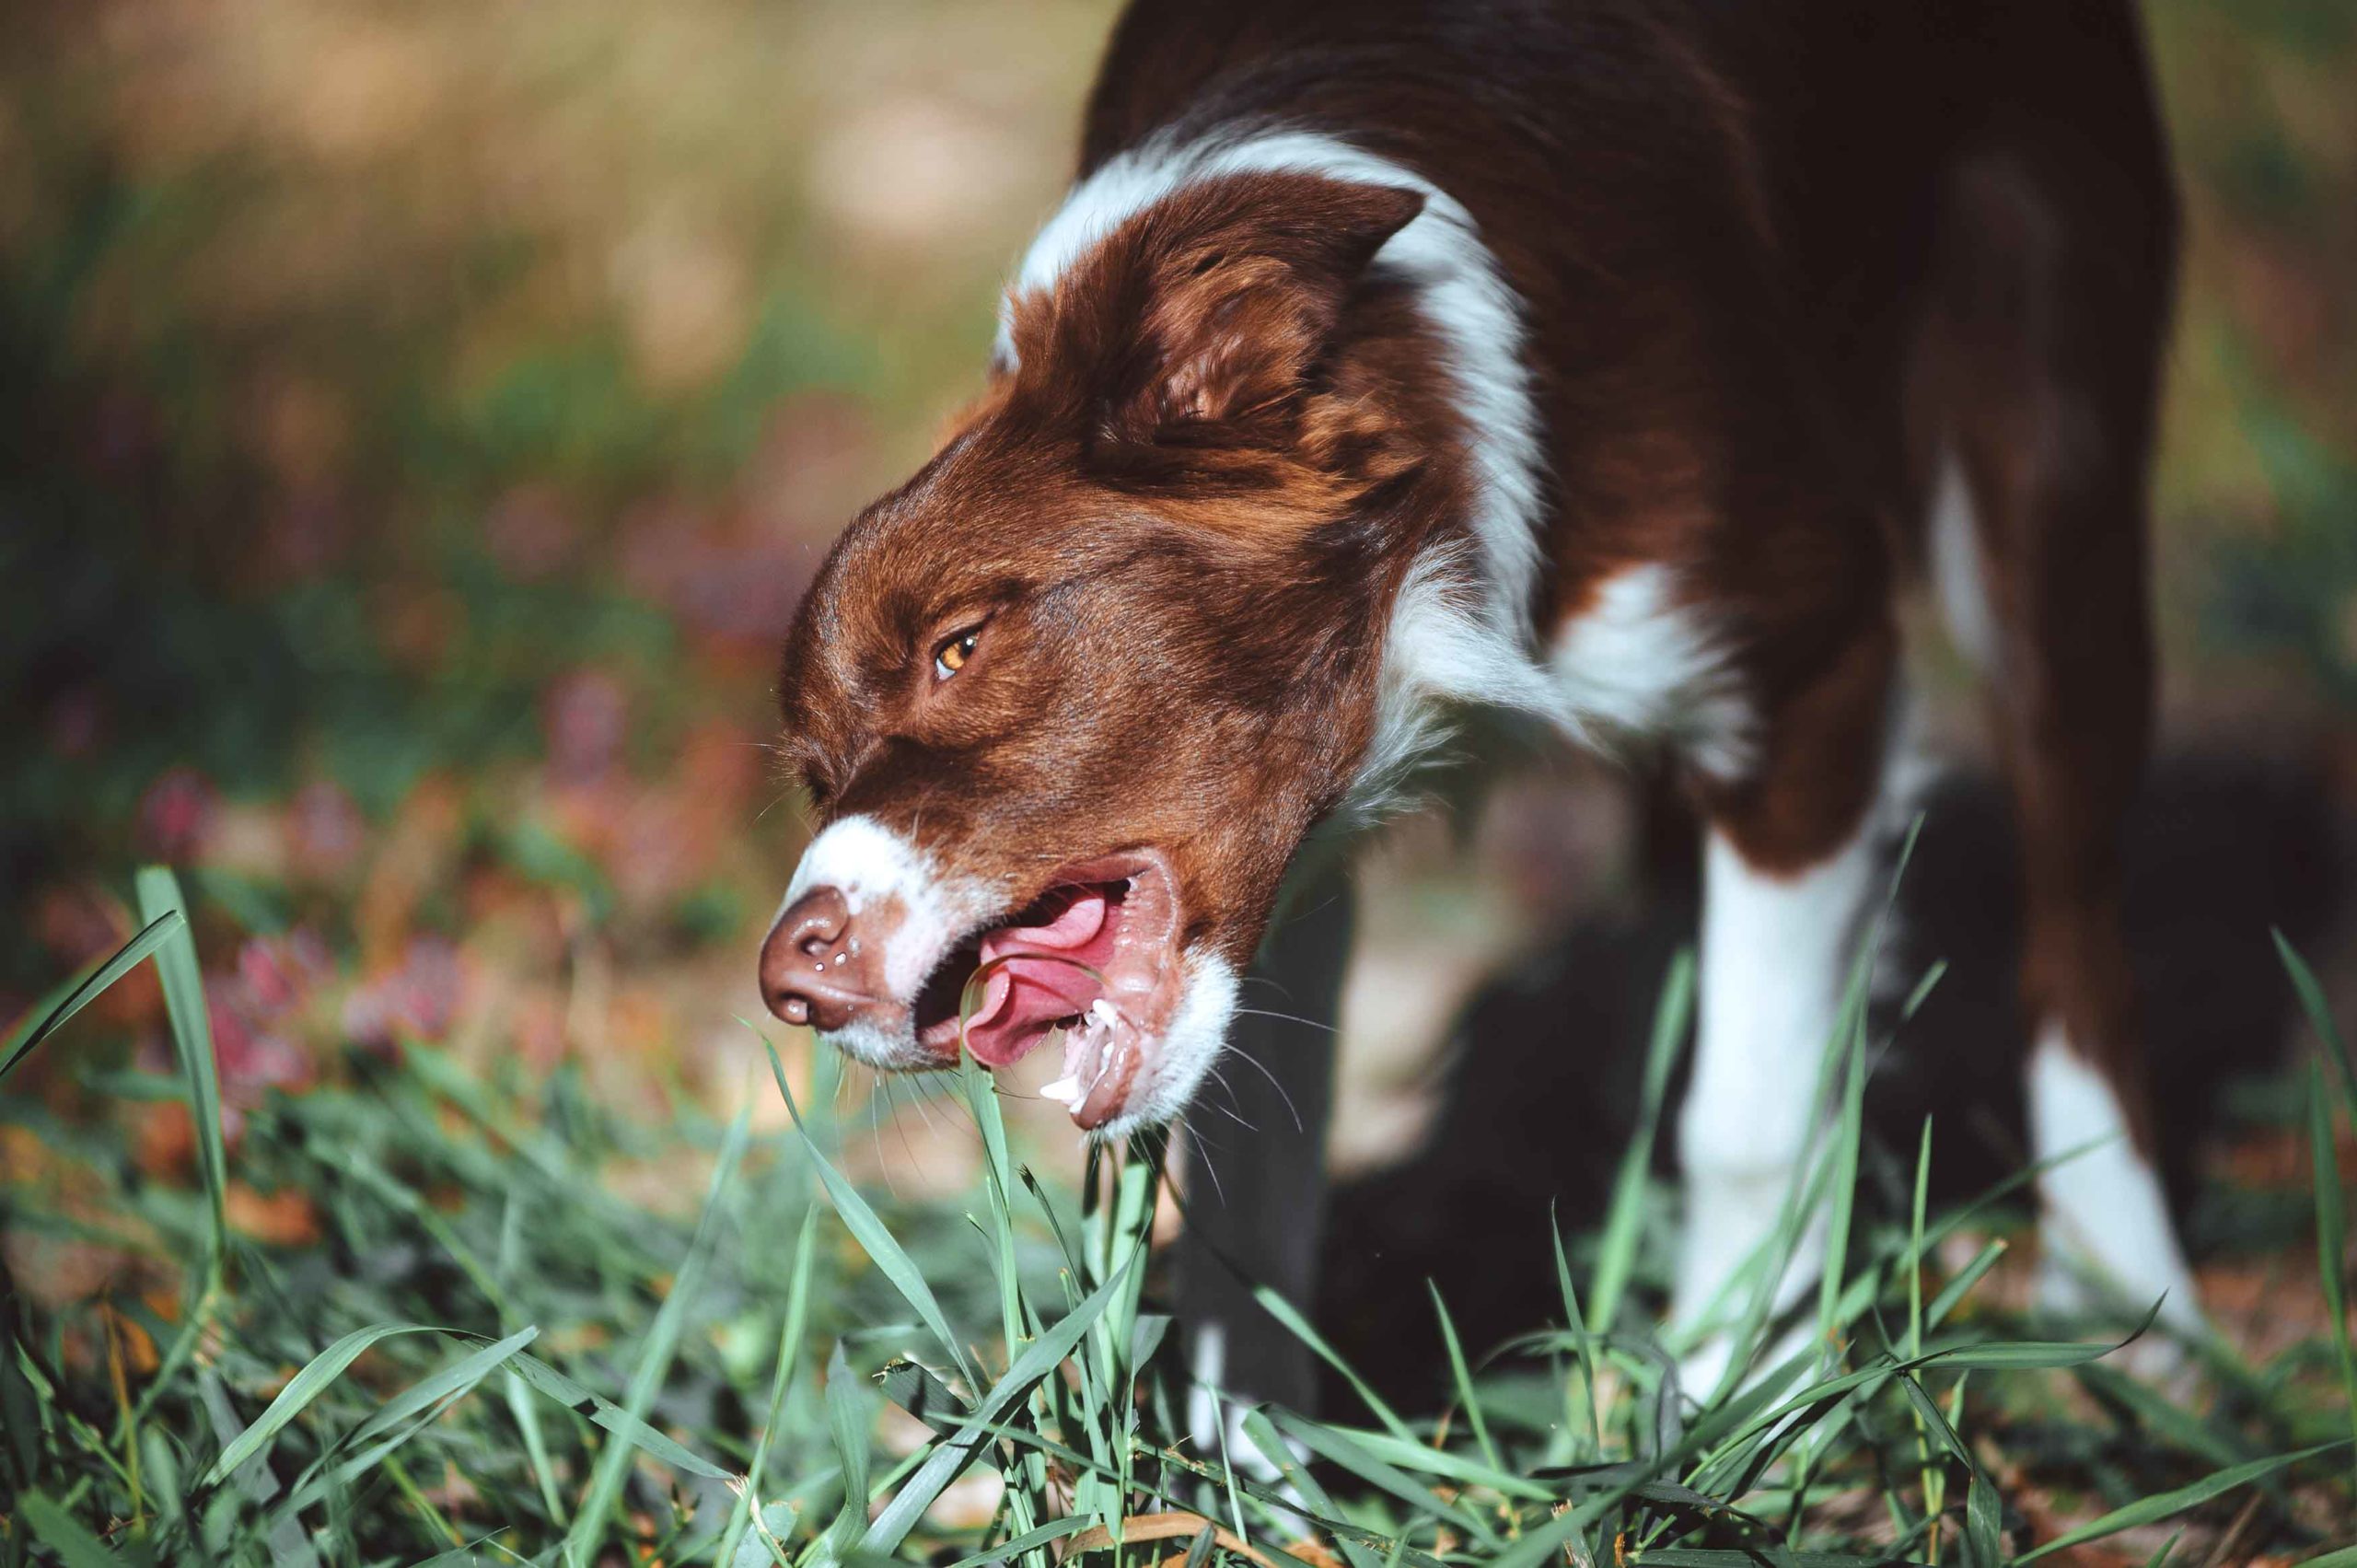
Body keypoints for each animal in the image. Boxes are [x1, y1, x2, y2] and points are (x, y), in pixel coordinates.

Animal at [754, 0, 2187, 1414]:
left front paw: (1739, 1399)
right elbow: (1252, 1195)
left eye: (960, 646)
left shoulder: (1813, 670)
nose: (789, 981)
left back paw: (2125, 1285)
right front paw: (1245, 1461)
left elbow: (1747, 1110)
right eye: (816, 772)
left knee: (2075, 908)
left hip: (2045, 429)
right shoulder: (1300, 867)